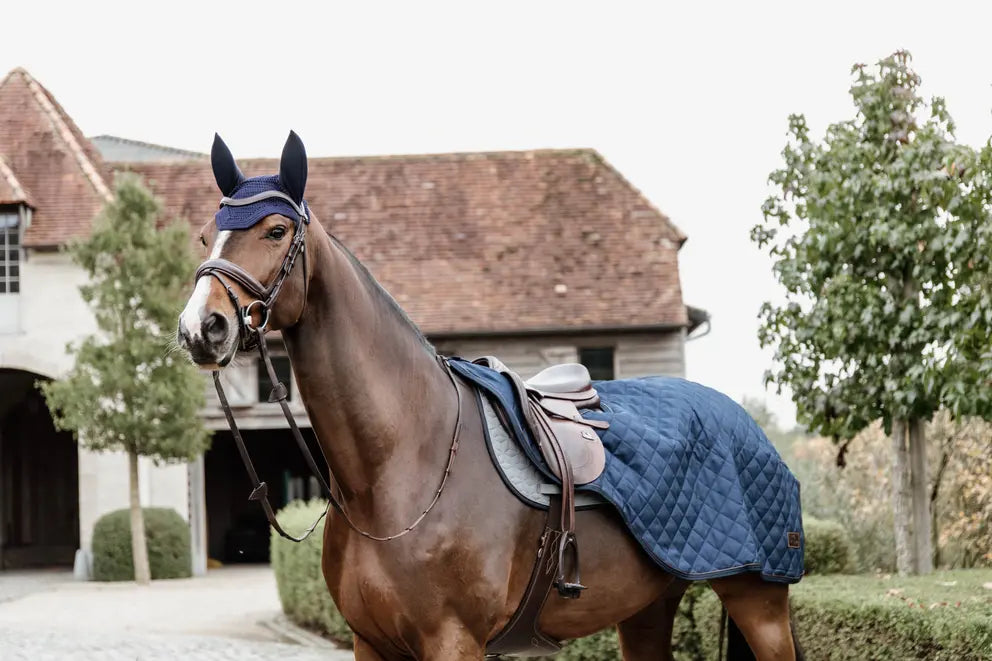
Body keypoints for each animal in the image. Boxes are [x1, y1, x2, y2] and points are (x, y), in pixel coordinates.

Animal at [176, 131, 800, 656]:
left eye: (275, 231)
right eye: (207, 235)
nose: (201, 328)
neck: (400, 467)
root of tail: (745, 427)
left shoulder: (453, 641)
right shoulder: (370, 643)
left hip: (759, 603)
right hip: (647, 608)